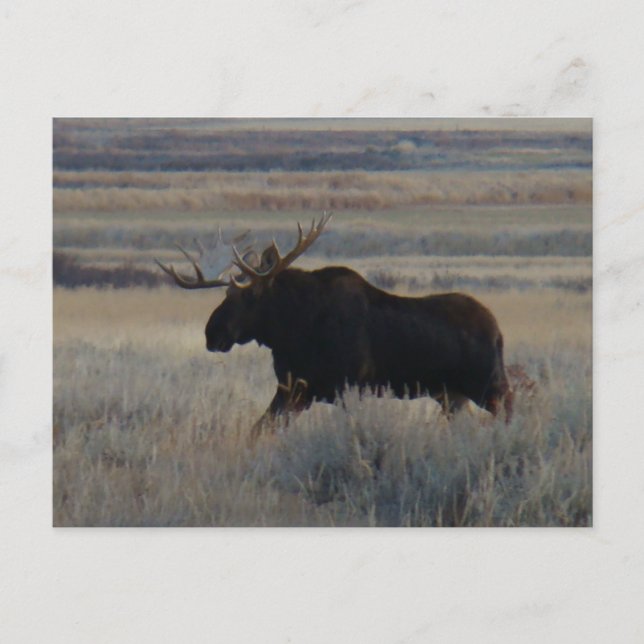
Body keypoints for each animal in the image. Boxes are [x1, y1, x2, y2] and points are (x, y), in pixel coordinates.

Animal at [156, 214, 512, 437]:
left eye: (251, 295)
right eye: (227, 293)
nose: (212, 333)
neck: (291, 332)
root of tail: (498, 331)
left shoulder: (347, 387)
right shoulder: (294, 390)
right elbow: (259, 429)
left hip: (488, 385)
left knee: (512, 411)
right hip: (451, 396)